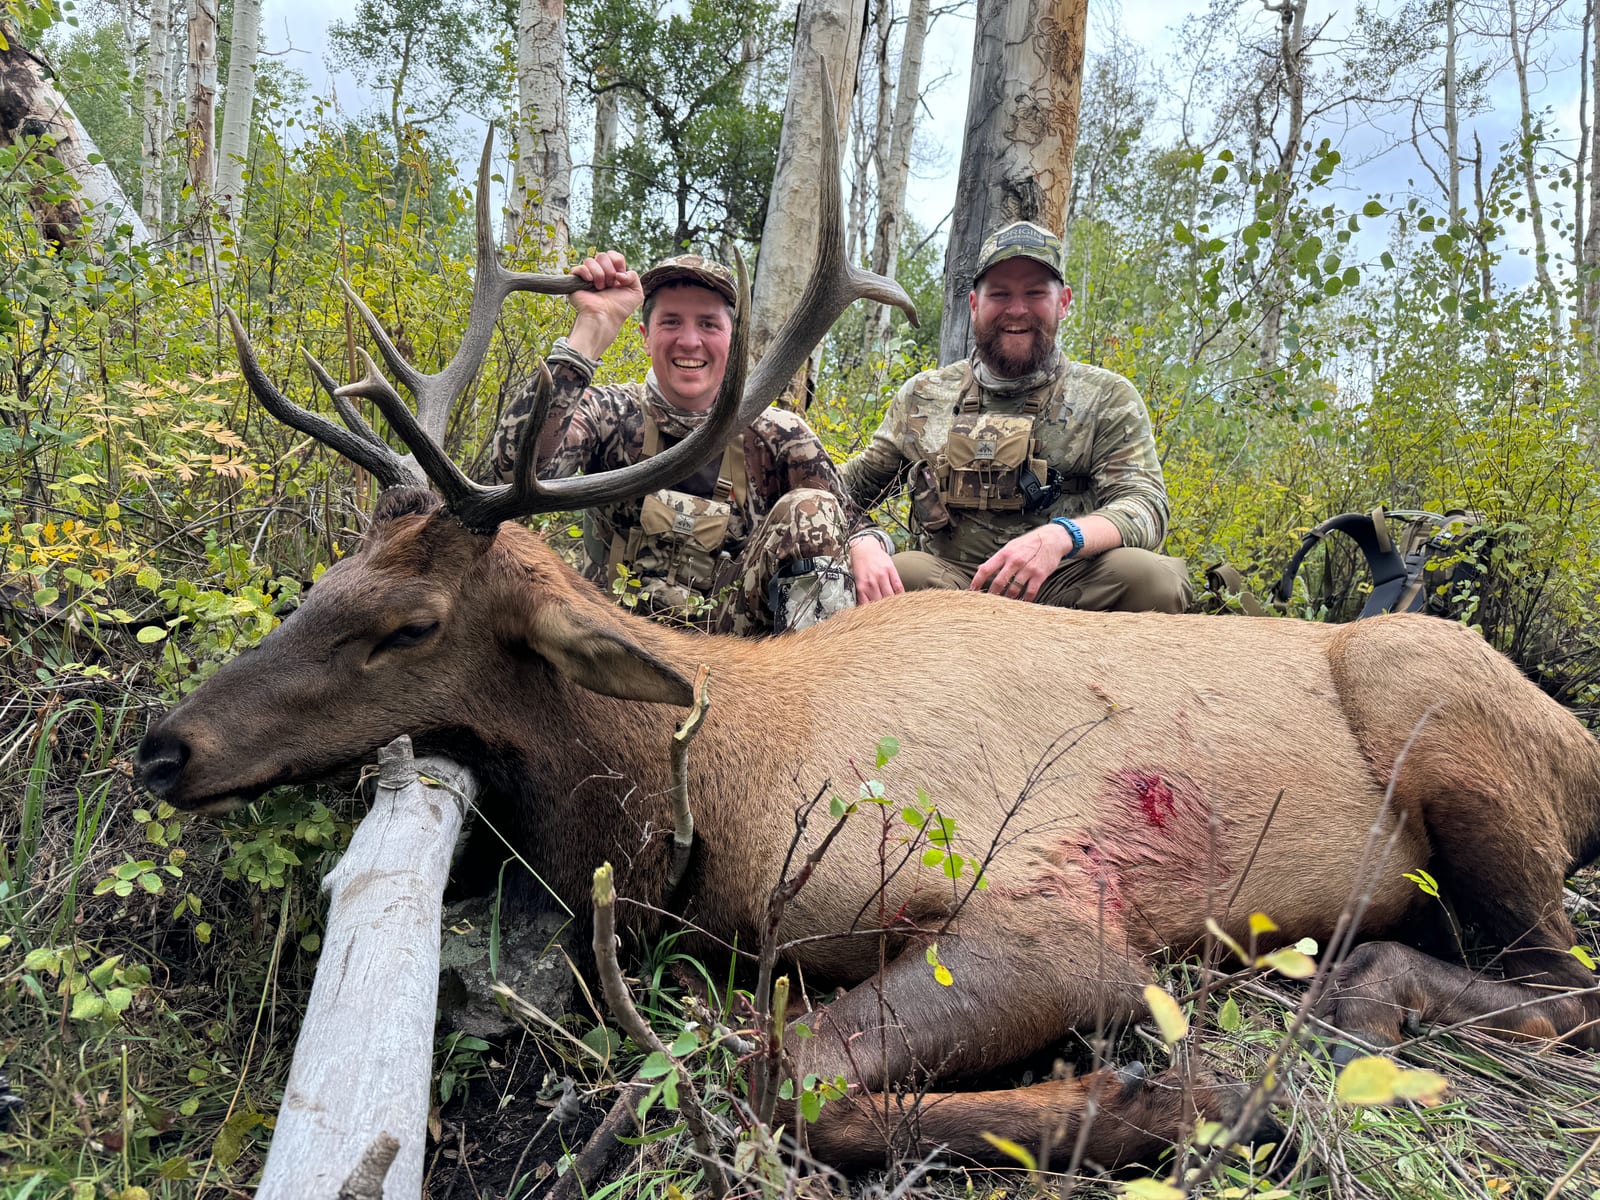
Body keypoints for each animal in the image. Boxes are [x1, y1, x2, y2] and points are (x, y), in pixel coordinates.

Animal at [135, 125, 1600, 1176]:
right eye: (329, 577)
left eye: (410, 626)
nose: (163, 747)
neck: (720, 792)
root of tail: (1575, 736)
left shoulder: (1059, 914)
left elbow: (791, 1078)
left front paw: (1191, 1096)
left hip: (1450, 731)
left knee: (1559, 981)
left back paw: (1353, 995)